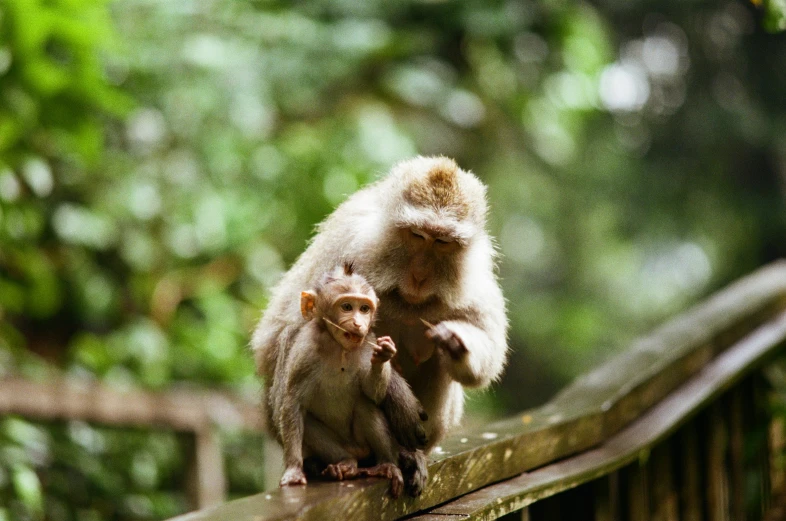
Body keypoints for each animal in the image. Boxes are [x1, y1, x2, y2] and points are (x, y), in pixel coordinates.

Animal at [274, 264, 408, 496]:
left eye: (364, 309)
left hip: (364, 445)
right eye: (346, 306)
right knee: (308, 422)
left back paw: (386, 464)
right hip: (340, 447)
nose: (358, 323)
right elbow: (292, 403)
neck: (339, 348)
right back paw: (346, 463)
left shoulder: (367, 343)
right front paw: (293, 470)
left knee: (366, 406)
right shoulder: (304, 350)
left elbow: (373, 394)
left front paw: (383, 355)